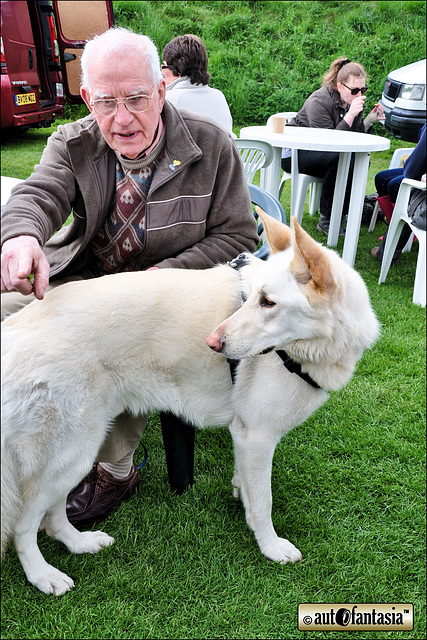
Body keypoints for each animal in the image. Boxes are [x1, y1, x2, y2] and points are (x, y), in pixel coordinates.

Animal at [0, 214, 382, 596]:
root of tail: (15, 328)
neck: (312, 349)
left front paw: (240, 493)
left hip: (76, 453)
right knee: (24, 525)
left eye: (268, 302)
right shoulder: (258, 437)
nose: (212, 342)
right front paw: (270, 546)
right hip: (74, 452)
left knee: (53, 516)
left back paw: (80, 543)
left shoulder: (245, 438)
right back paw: (42, 575)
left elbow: (247, 484)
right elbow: (263, 502)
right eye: (255, 299)